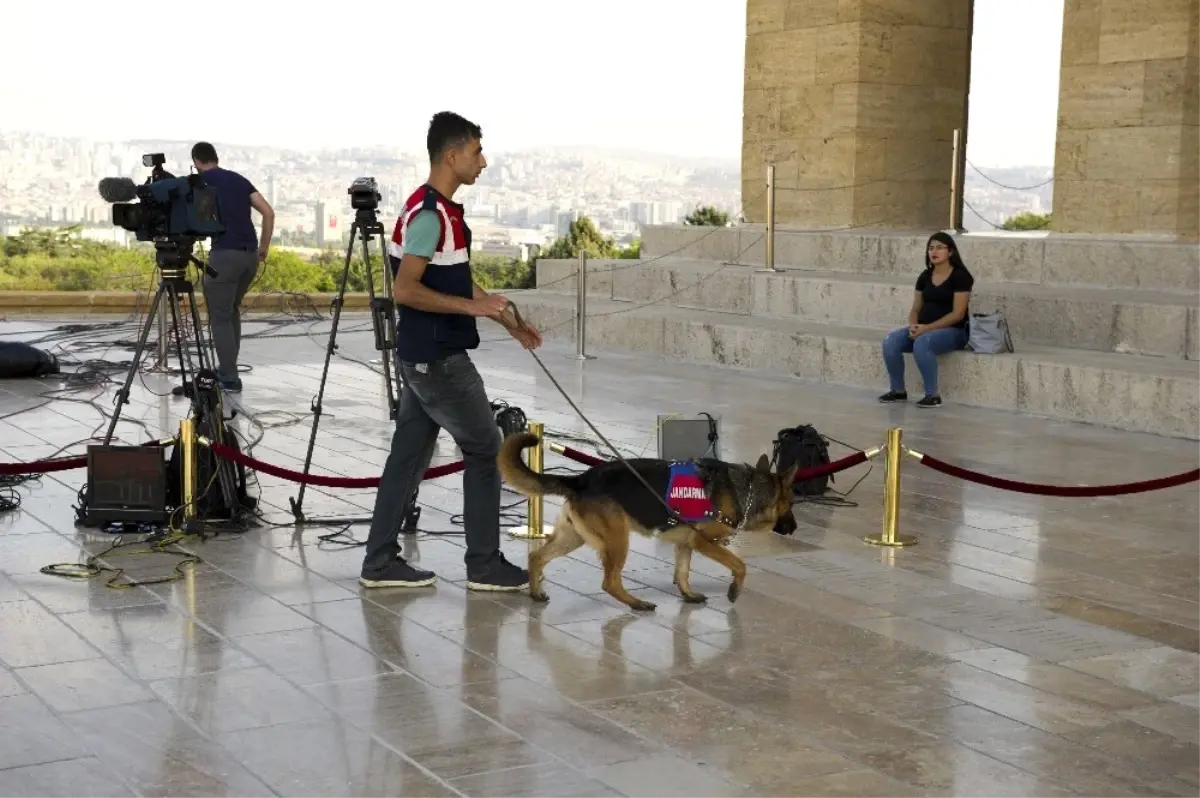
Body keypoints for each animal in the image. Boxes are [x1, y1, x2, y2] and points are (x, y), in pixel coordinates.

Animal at [496, 429, 796, 609]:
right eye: (792, 503)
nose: (794, 528)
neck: (747, 489)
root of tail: (580, 479)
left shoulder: (685, 544)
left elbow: (682, 572)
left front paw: (688, 594)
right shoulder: (704, 543)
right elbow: (739, 565)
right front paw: (734, 590)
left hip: (574, 538)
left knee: (537, 557)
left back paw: (536, 593)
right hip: (618, 540)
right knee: (609, 582)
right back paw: (636, 603)